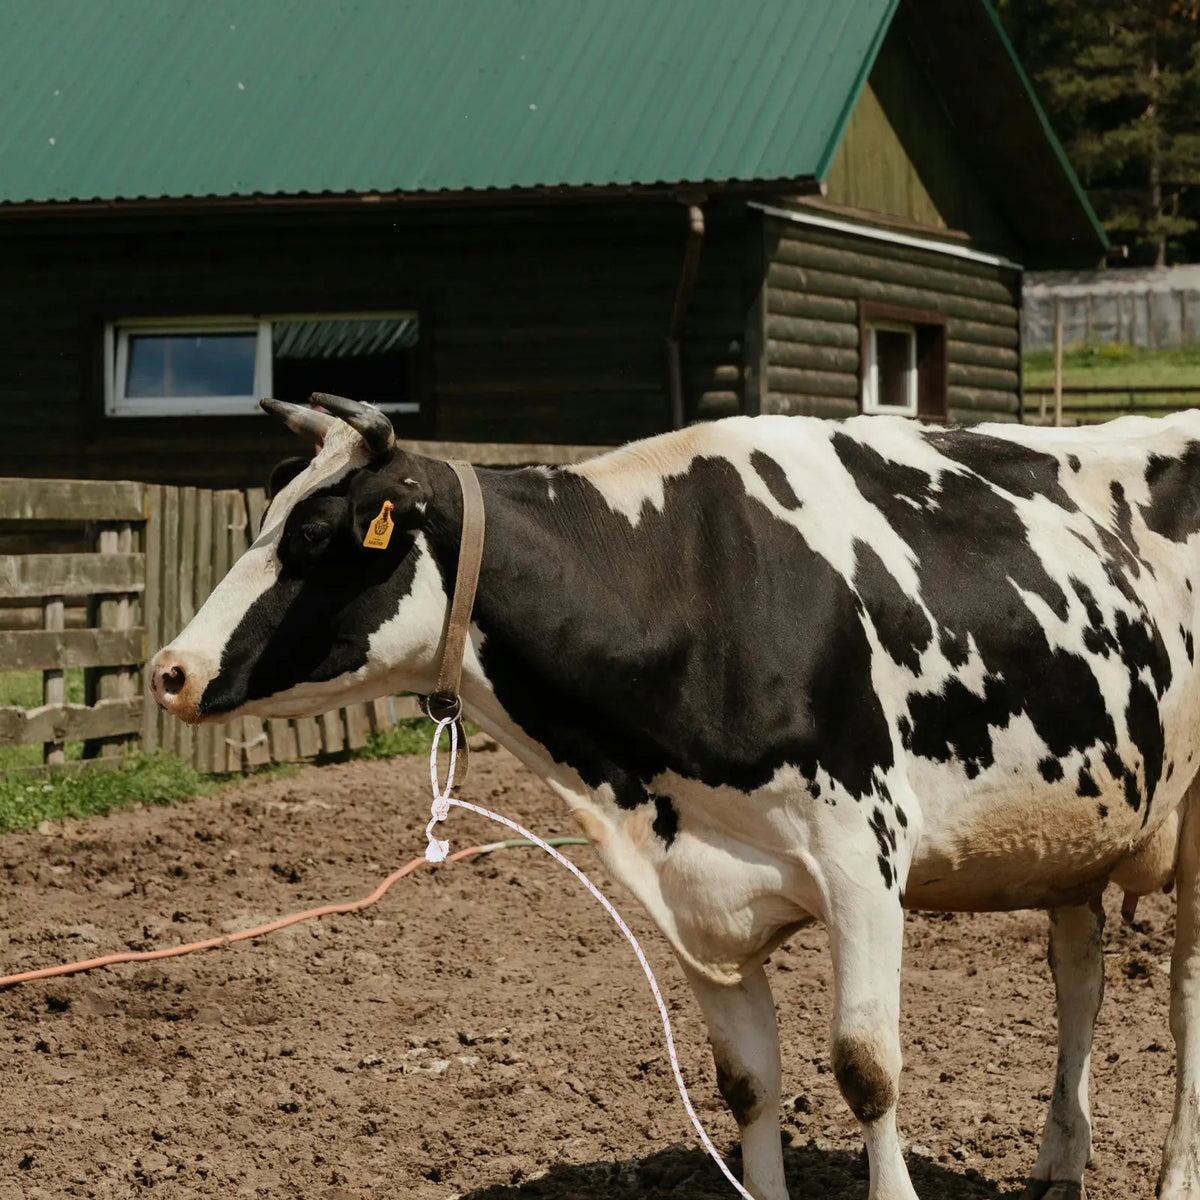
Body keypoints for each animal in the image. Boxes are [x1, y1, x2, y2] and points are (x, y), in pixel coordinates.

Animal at [150, 393, 1200, 1200]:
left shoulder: (863, 862)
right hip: (1077, 830)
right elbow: (747, 1084)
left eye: (314, 533)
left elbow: (867, 1070)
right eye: (266, 516)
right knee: (1080, 976)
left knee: (1185, 1007)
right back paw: (1060, 1163)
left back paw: (1173, 1178)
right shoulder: (696, 898)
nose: (169, 670)